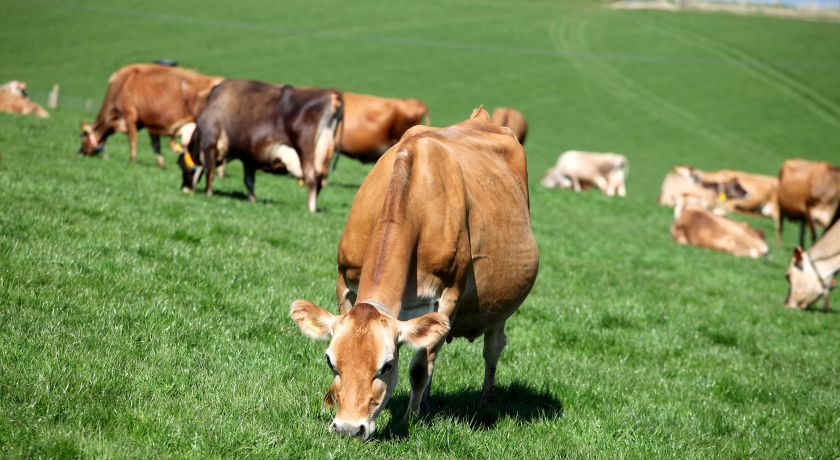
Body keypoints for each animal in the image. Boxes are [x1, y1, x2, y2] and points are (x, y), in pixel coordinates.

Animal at [78, 62, 223, 168]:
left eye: (83, 138)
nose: (79, 153)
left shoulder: (130, 116)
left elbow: (132, 141)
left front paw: (133, 161)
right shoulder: (152, 123)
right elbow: (155, 145)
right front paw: (161, 164)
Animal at [182, 80, 342, 213]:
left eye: (183, 168)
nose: (184, 189)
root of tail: (331, 95)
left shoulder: (209, 143)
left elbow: (209, 171)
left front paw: (208, 193)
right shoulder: (248, 157)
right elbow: (249, 180)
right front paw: (252, 200)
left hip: (305, 150)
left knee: (311, 178)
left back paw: (310, 208)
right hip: (323, 153)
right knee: (320, 180)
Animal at [288, 107, 540, 438]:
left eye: (386, 365)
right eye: (330, 361)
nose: (348, 429)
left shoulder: (448, 294)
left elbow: (420, 367)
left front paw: (410, 417)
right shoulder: (344, 281)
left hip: (501, 308)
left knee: (492, 349)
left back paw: (484, 404)